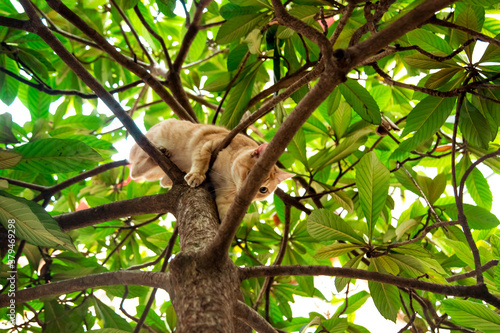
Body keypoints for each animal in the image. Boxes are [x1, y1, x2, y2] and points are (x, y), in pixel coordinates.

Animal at [128, 118, 292, 219]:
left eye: (263, 190)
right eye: (253, 176)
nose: (251, 195)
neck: (228, 177)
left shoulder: (224, 198)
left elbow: (224, 213)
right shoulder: (207, 143)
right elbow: (202, 161)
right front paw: (197, 175)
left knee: (162, 181)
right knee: (135, 171)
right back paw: (161, 151)